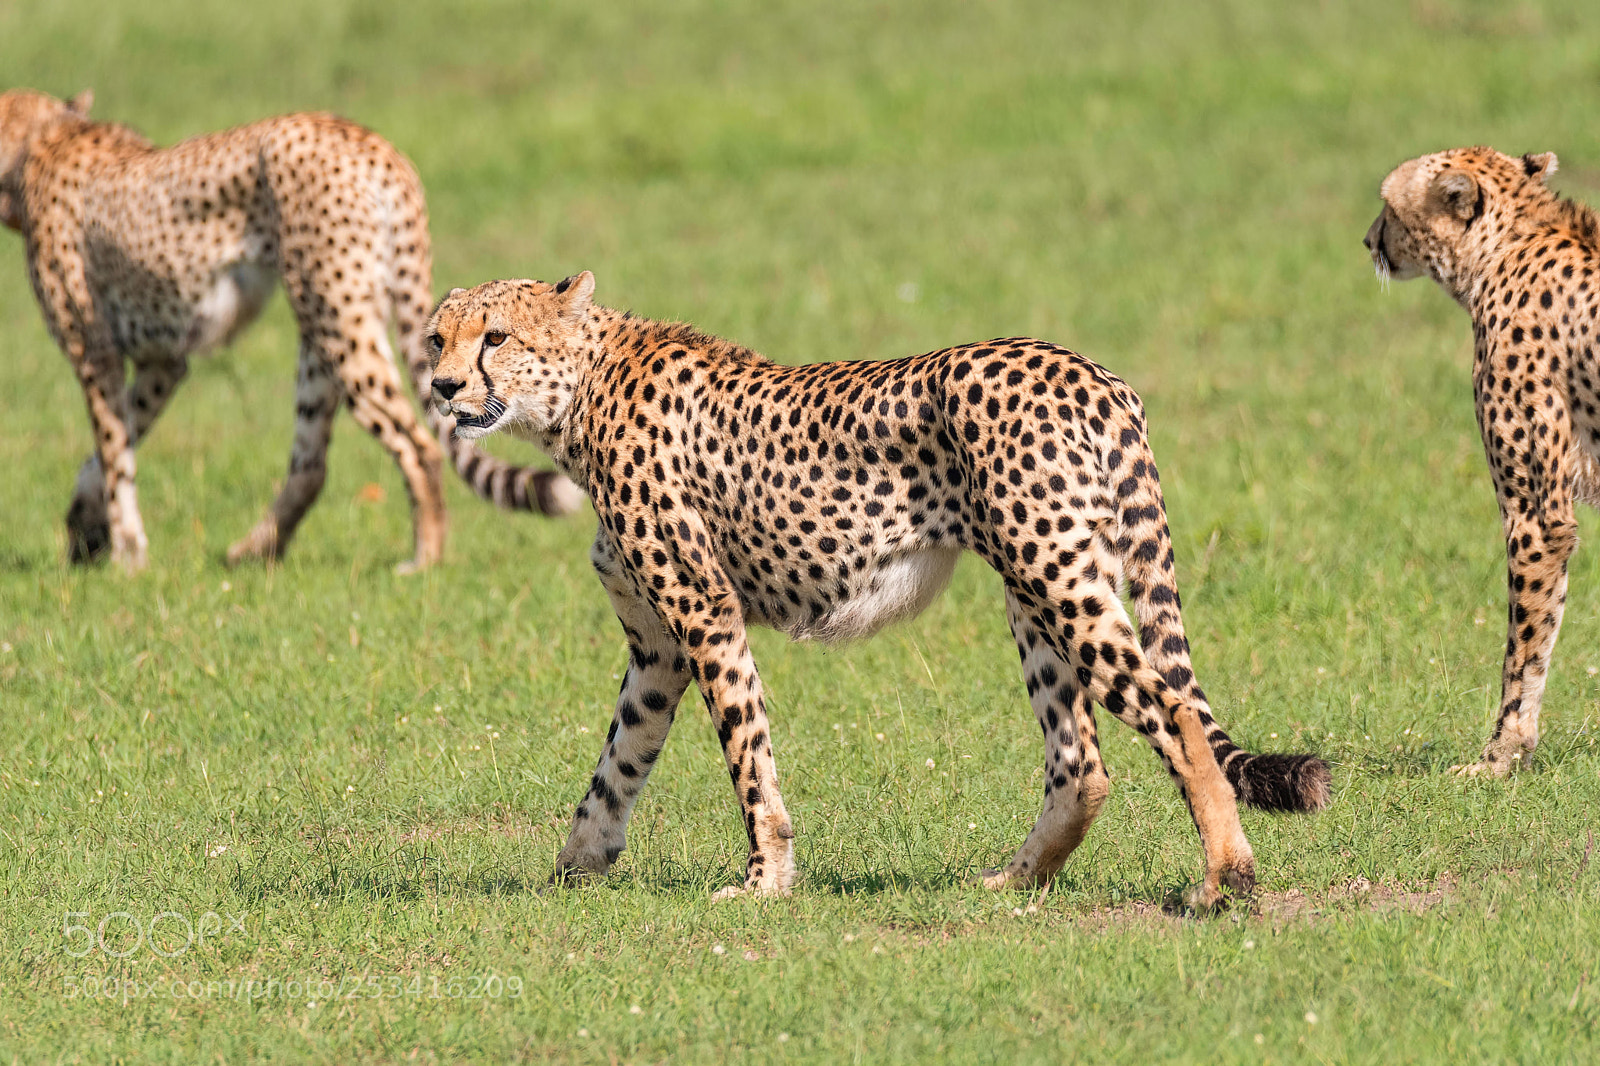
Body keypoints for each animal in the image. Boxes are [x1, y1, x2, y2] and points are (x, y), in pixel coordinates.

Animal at [0, 88, 580, 574]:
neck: (44, 137)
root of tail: (373, 143)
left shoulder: (93, 349)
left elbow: (113, 449)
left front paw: (126, 555)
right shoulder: (164, 361)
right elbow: (112, 443)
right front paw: (86, 525)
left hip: (337, 320)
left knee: (417, 442)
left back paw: (424, 560)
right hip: (321, 326)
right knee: (311, 462)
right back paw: (256, 552)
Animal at [424, 271, 1332, 908]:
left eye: (495, 337)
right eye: (436, 339)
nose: (440, 388)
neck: (579, 392)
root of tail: (1091, 372)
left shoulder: (703, 613)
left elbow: (746, 755)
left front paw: (763, 881)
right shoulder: (657, 647)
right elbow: (620, 758)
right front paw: (575, 866)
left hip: (1054, 576)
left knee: (1174, 713)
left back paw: (1225, 880)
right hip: (1041, 587)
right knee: (1081, 758)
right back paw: (1015, 882)